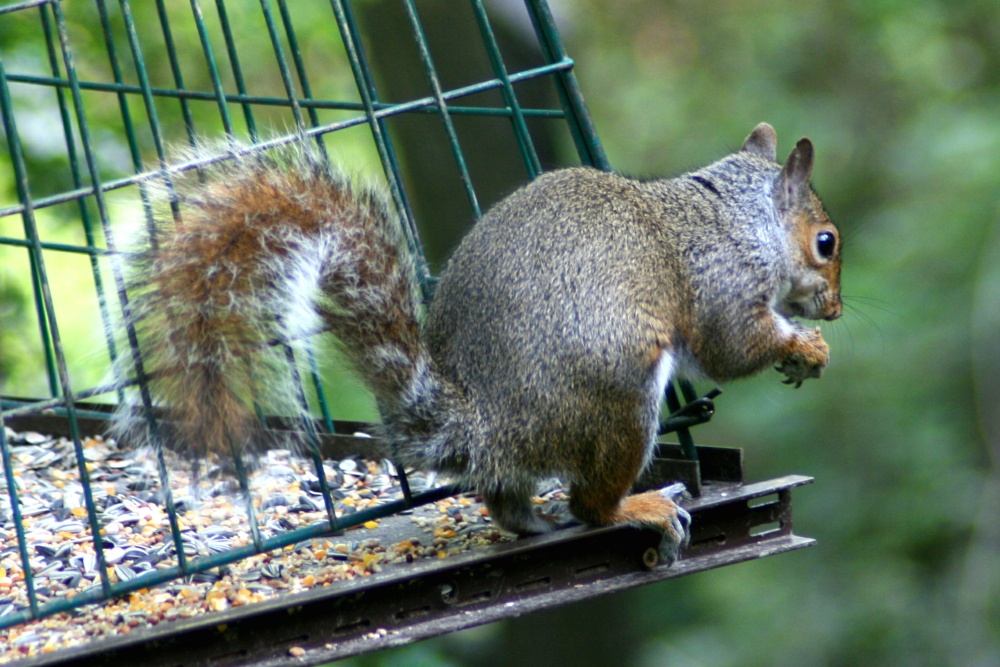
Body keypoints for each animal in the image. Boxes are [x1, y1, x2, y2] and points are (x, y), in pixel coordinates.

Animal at [111, 121, 844, 564]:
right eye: (825, 242)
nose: (836, 308)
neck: (735, 218)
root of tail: (483, 425)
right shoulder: (720, 281)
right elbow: (732, 348)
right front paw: (806, 348)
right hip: (620, 399)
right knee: (592, 506)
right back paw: (641, 504)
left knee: (509, 500)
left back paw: (537, 521)